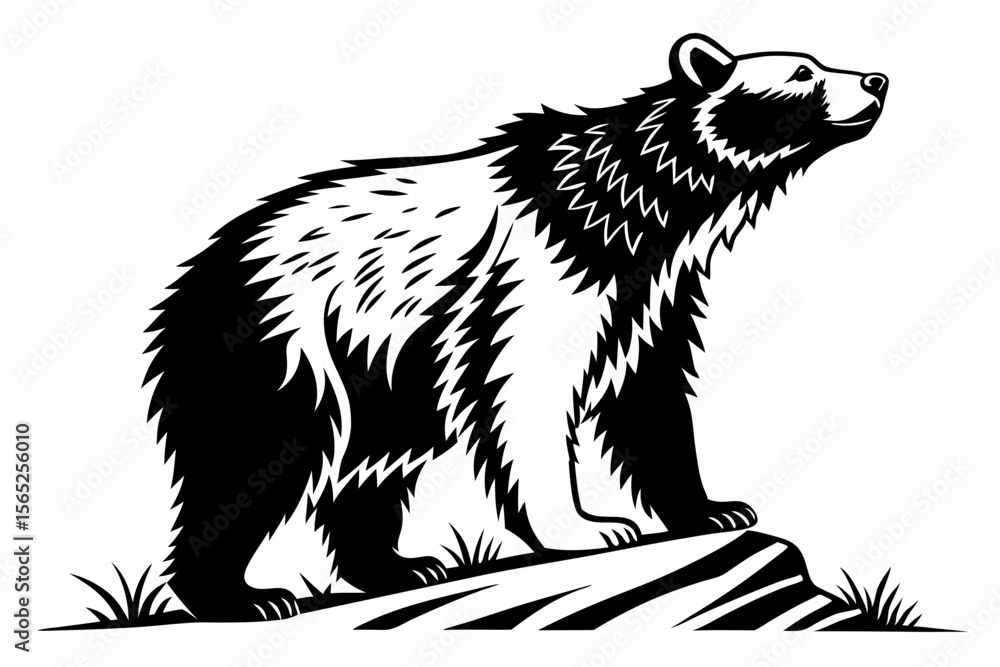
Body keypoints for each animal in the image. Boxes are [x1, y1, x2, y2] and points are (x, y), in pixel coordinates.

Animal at [143, 33, 887, 621]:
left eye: (819, 61)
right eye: (803, 72)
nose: (877, 81)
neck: (636, 208)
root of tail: (194, 275)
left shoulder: (650, 291)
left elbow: (649, 396)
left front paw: (714, 509)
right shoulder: (534, 280)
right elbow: (525, 390)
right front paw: (595, 527)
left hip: (375, 367)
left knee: (369, 465)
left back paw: (400, 567)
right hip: (285, 337)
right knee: (255, 455)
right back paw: (243, 595)